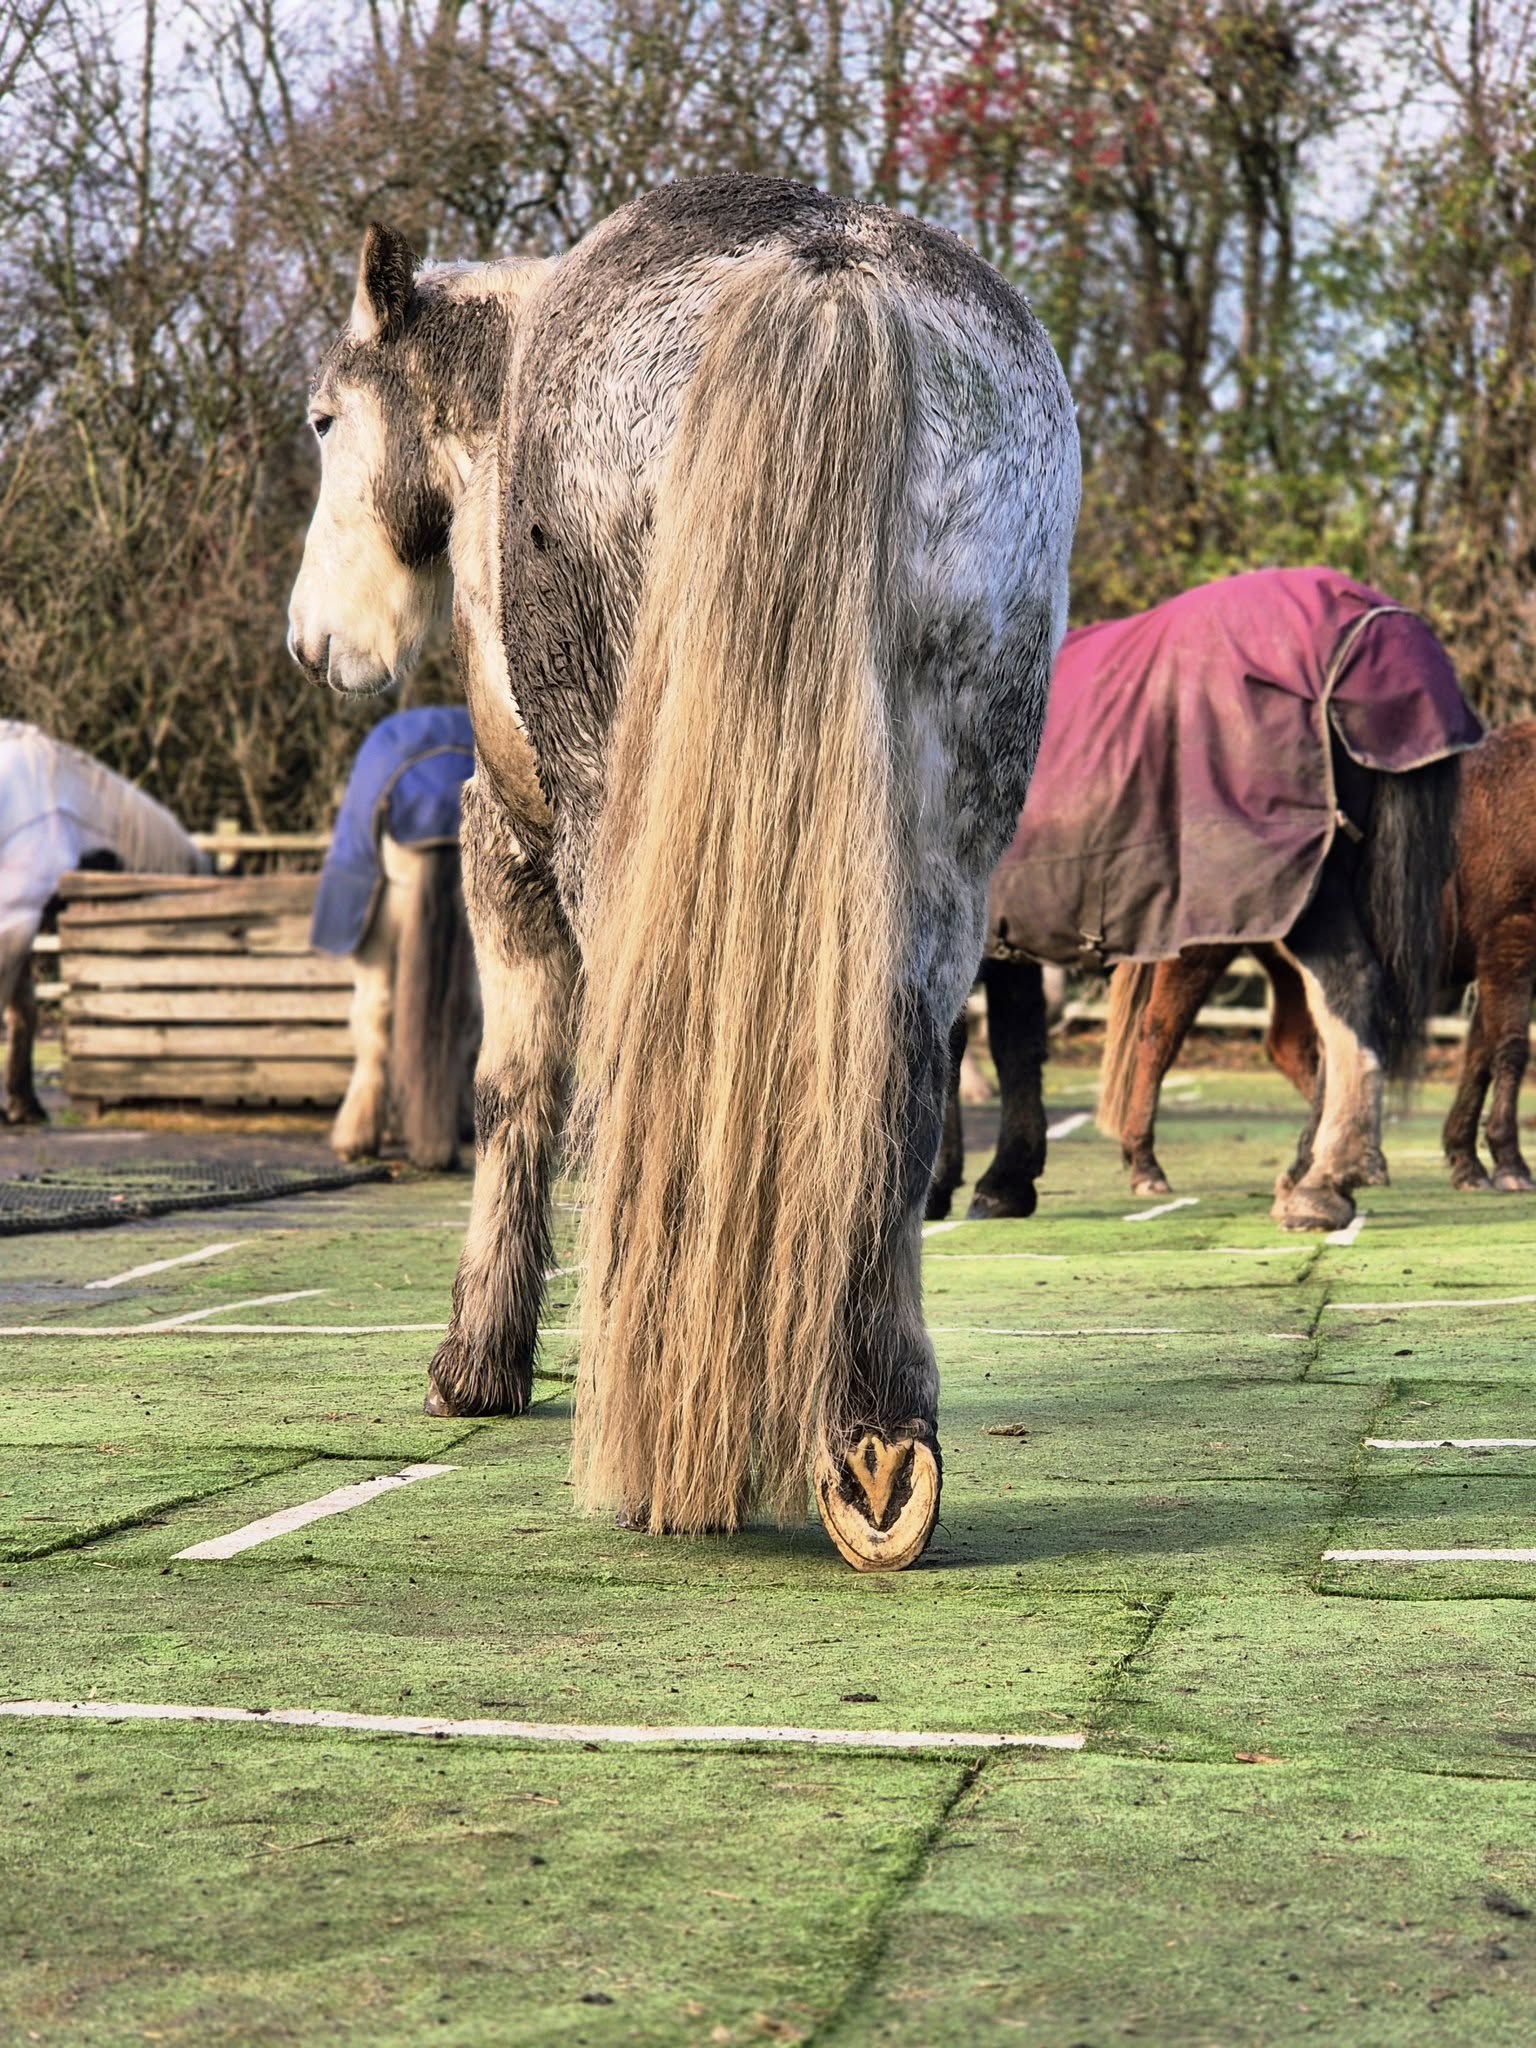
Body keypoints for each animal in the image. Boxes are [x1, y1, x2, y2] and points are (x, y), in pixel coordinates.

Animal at [928, 570, 1483, 1232]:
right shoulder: (1009, 933)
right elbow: (1017, 1046)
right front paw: (1005, 1184)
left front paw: (940, 1188)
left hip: (1300, 896)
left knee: (1349, 993)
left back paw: (1322, 1184)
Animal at [1094, 719, 1536, 1197]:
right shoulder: (1511, 940)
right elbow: (1508, 1049)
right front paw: (1510, 1163)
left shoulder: (1496, 960)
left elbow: (1478, 1054)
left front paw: (1466, 1161)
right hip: (1201, 954)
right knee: (1159, 1034)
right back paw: (1146, 1163)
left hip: (1291, 966)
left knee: (1293, 1045)